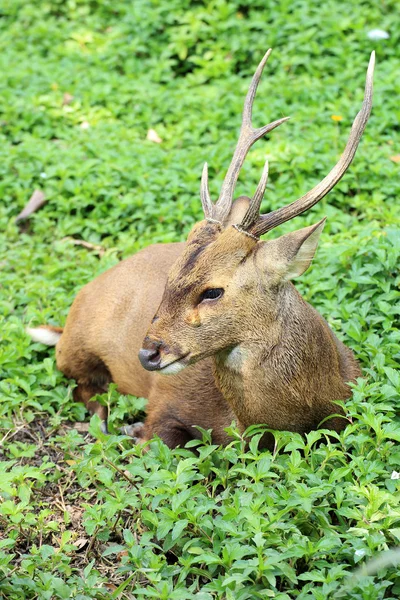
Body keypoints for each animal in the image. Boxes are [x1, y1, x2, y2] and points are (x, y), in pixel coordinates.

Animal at [28, 49, 376, 448]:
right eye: (168, 279)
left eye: (213, 291)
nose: (148, 353)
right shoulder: (165, 404)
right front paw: (132, 429)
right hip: (78, 347)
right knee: (83, 388)